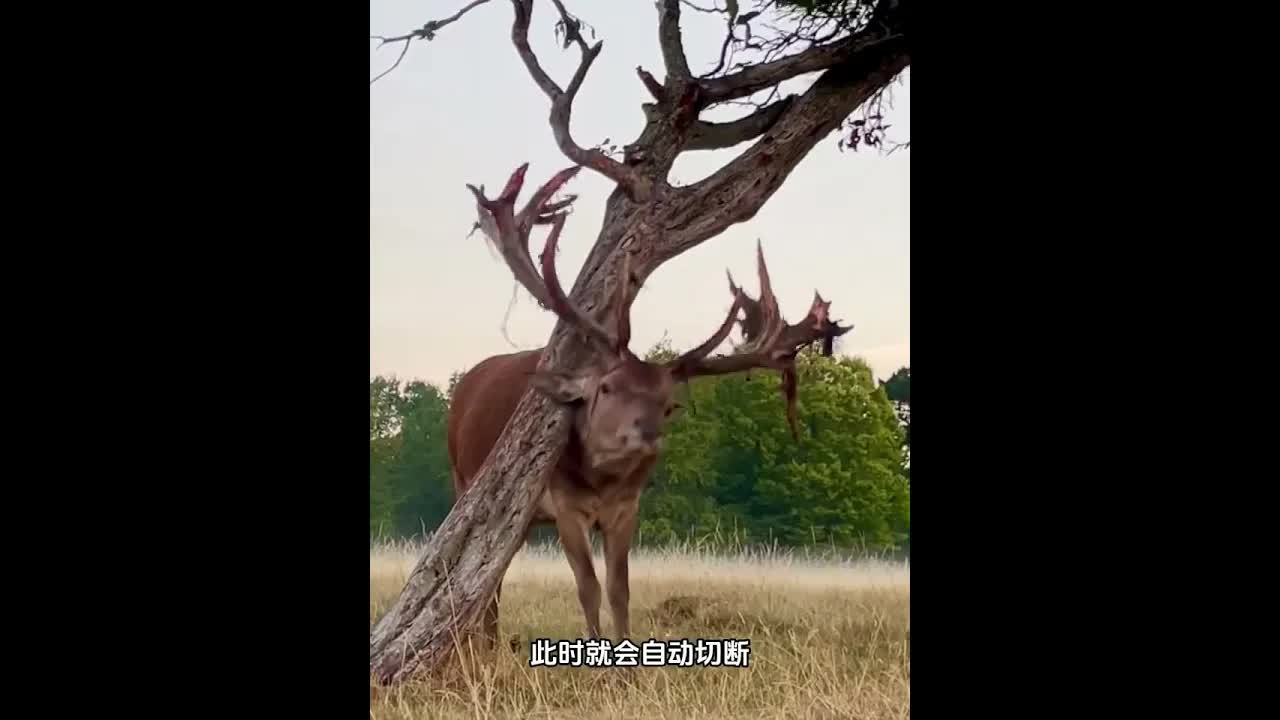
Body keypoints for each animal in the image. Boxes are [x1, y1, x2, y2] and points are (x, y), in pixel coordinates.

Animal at [445, 164, 850, 648]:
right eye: (607, 387)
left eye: (669, 404)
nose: (648, 434)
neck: (601, 483)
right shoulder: (564, 504)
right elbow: (587, 587)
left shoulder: (627, 508)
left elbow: (620, 588)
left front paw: (627, 652)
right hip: (463, 478)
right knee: (484, 571)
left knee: (495, 570)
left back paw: (487, 641)